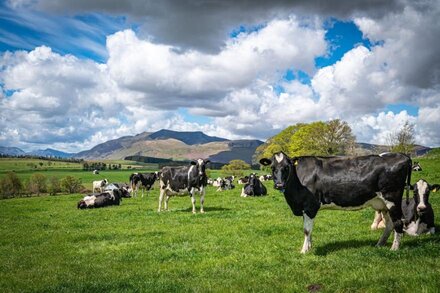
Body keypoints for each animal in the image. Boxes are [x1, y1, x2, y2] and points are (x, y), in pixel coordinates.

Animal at [260, 152, 410, 252]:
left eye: (287, 167)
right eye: (272, 167)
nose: (279, 184)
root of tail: (403, 155)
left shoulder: (310, 206)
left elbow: (307, 230)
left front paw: (304, 251)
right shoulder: (305, 208)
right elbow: (309, 230)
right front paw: (309, 247)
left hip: (392, 197)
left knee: (398, 223)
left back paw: (394, 249)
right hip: (382, 203)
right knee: (389, 224)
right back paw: (380, 244)